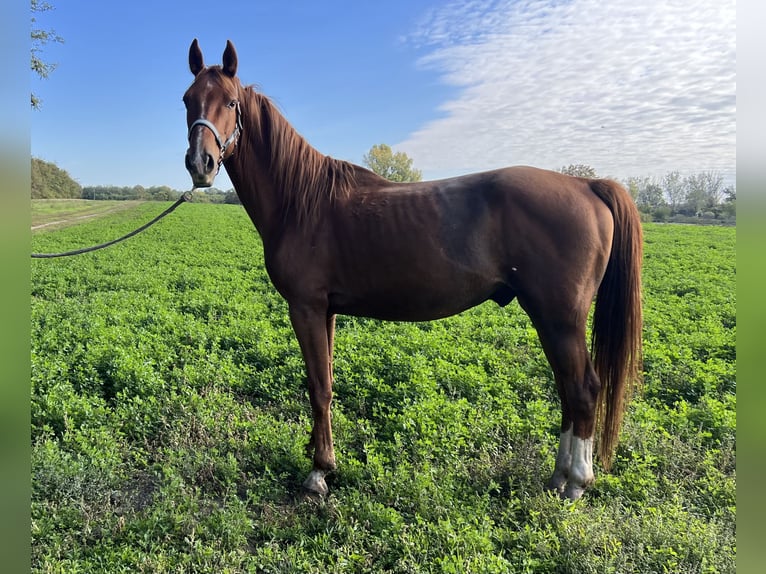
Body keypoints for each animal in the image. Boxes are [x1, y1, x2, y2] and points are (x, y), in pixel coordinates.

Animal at [184, 38, 640, 502]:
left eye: (231, 102)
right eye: (188, 100)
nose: (200, 163)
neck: (301, 200)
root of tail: (586, 185)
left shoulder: (306, 308)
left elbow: (319, 387)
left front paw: (319, 471)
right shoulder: (325, 311)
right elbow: (324, 380)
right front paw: (318, 451)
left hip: (559, 317)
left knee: (582, 390)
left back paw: (576, 482)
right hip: (551, 319)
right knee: (567, 388)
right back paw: (558, 476)